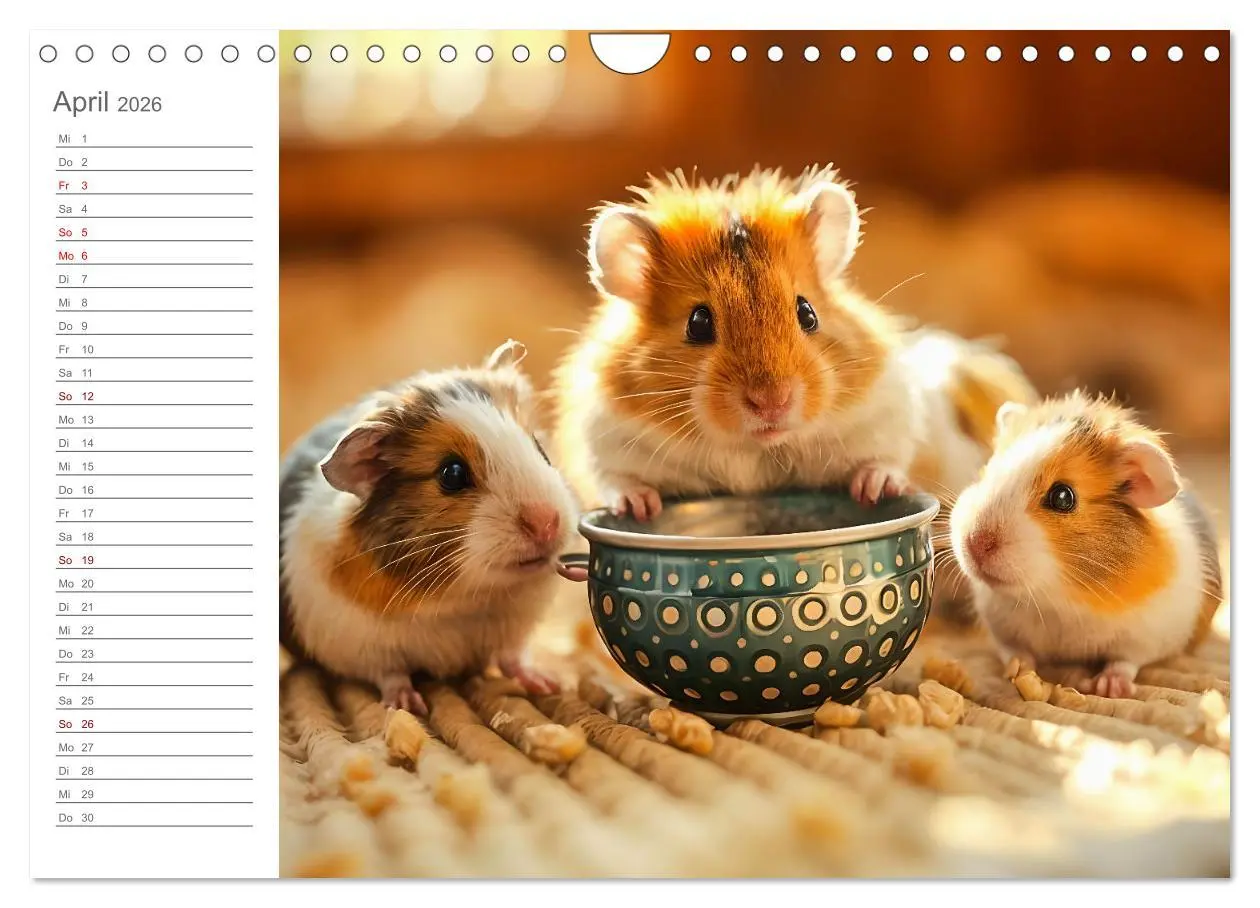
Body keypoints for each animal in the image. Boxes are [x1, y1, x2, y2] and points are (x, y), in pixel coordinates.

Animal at [280, 340, 580, 714]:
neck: (462, 601)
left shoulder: (514, 629)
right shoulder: (362, 646)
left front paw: (549, 684)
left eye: (540, 449)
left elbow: (514, 659)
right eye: (452, 474)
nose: (546, 522)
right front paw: (407, 707)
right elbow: (391, 674)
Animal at [552, 164, 1037, 520]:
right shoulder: (610, 440)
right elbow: (618, 480)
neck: (757, 448)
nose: (773, 402)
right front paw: (638, 507)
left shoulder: (887, 416)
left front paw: (874, 488)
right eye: (698, 323)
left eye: (807, 313)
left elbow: (886, 457)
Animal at [948, 391, 1223, 698]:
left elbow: (1125, 661)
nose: (974, 542)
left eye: (1063, 497)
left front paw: (1108, 689)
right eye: (988, 471)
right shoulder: (1002, 630)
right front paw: (1018, 672)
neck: (1057, 598)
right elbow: (1015, 653)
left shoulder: (1148, 636)